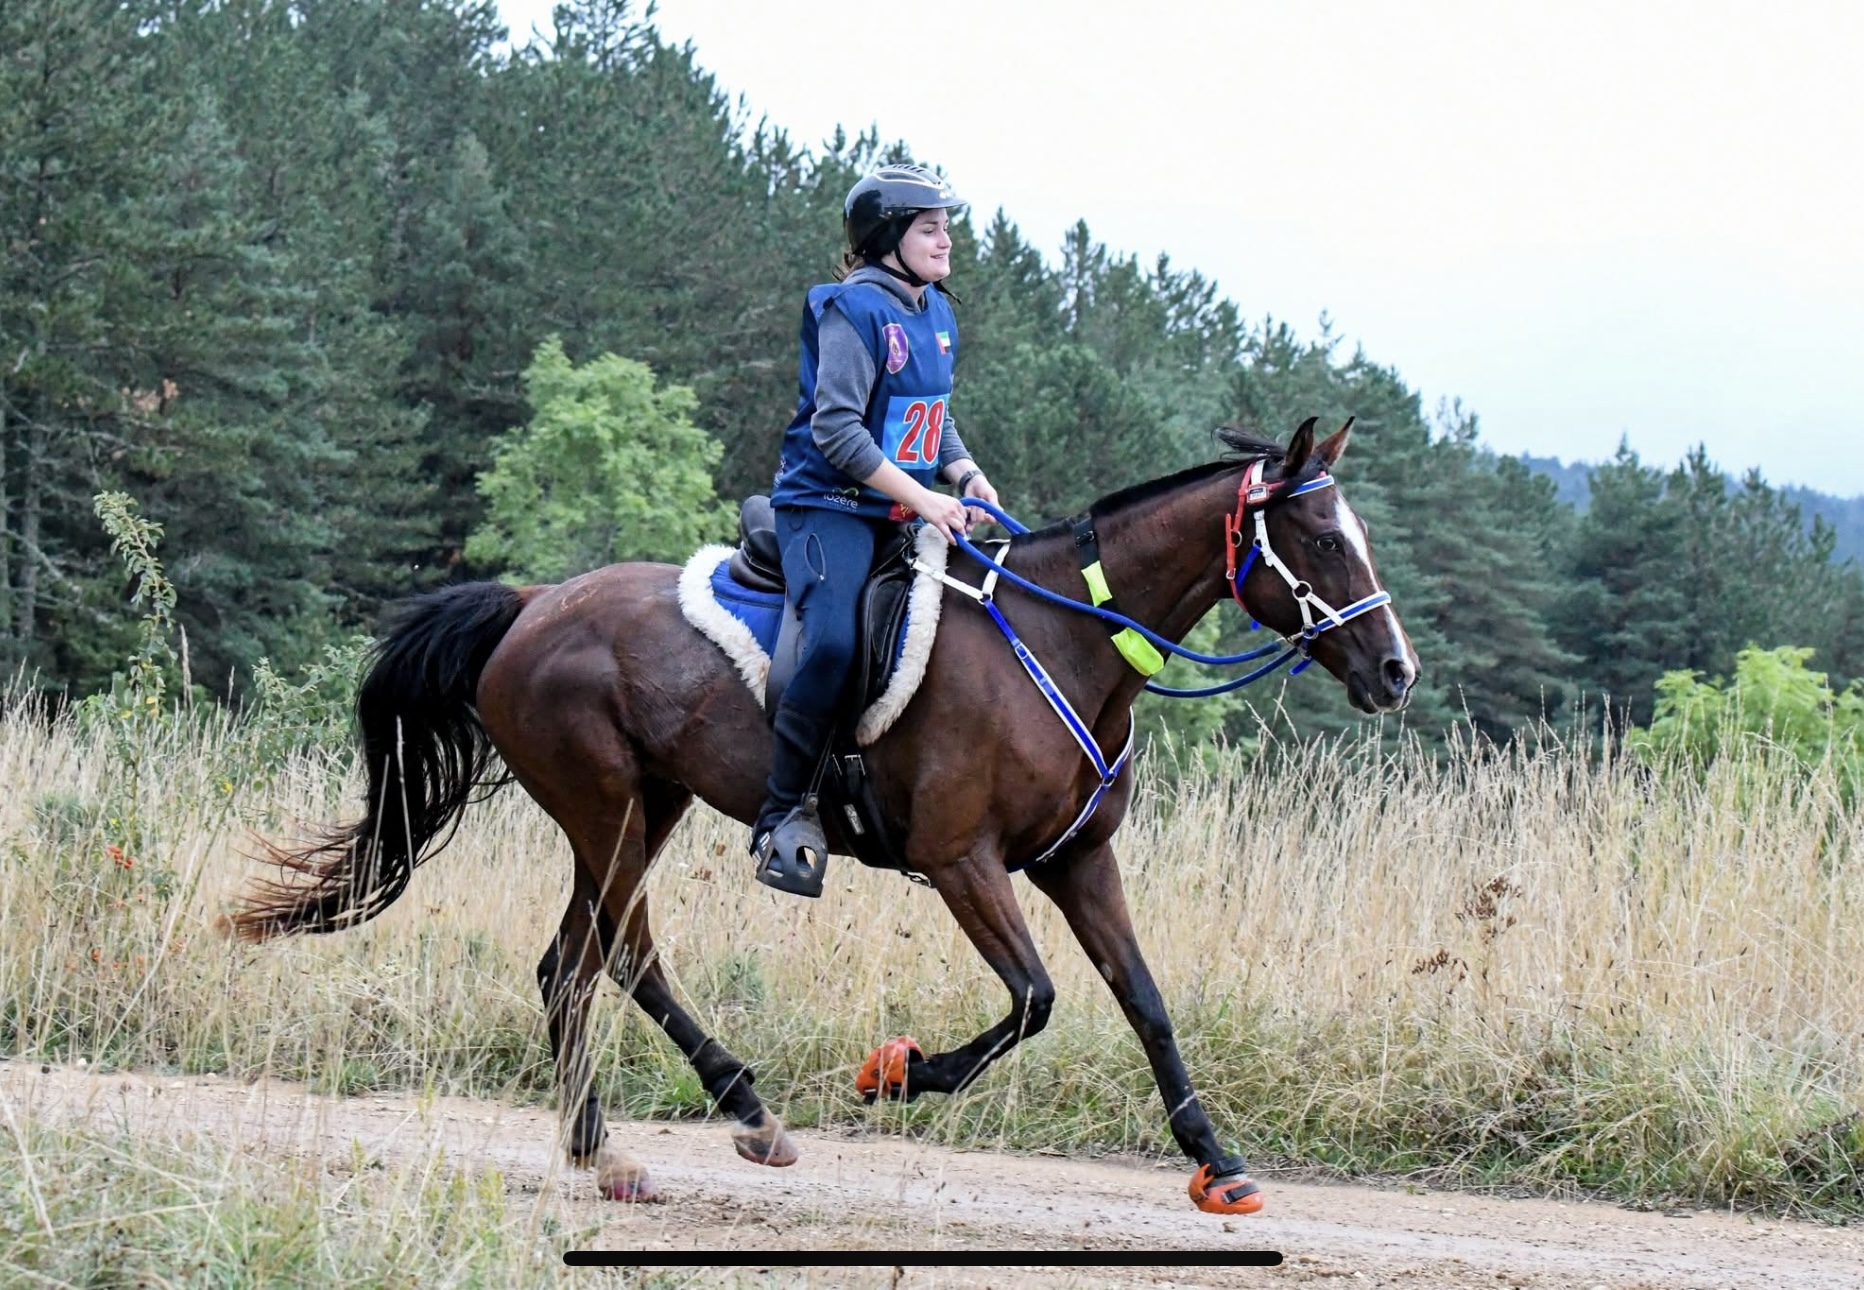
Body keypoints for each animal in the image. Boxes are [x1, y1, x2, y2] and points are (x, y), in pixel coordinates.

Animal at [226, 415, 1417, 1215]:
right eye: (1319, 539)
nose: (1395, 672)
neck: (1065, 639)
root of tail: (531, 605)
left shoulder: (1078, 862)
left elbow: (1144, 1002)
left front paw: (1217, 1161)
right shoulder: (962, 861)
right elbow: (1033, 1000)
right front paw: (896, 1073)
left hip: (647, 806)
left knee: (588, 961)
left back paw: (662, 1134)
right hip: (606, 809)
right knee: (603, 959)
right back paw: (684, 1129)